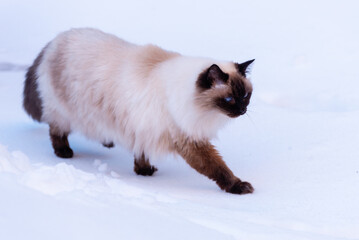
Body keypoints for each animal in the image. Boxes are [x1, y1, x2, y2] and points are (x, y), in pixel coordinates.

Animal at [23, 27, 256, 195]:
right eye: (229, 99)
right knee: (56, 130)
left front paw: (143, 172)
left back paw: (107, 142)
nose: (242, 110)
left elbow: (141, 152)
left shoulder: (144, 128)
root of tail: (55, 41)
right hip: (65, 111)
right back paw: (64, 152)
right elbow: (218, 168)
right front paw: (238, 187)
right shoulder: (188, 139)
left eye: (245, 95)